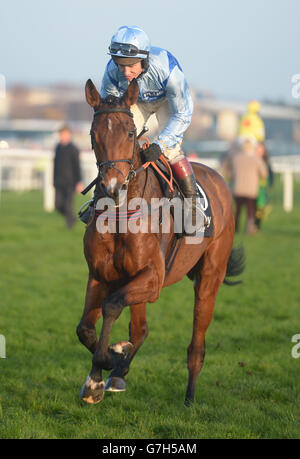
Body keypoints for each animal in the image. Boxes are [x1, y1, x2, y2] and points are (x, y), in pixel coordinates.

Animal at [75, 78, 244, 406]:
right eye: (93, 134)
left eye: (130, 132)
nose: (112, 188)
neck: (123, 214)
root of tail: (218, 177)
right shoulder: (99, 275)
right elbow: (85, 329)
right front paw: (100, 375)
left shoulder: (153, 278)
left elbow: (112, 307)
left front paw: (108, 360)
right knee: (140, 329)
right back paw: (120, 371)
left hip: (209, 278)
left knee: (196, 344)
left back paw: (189, 397)